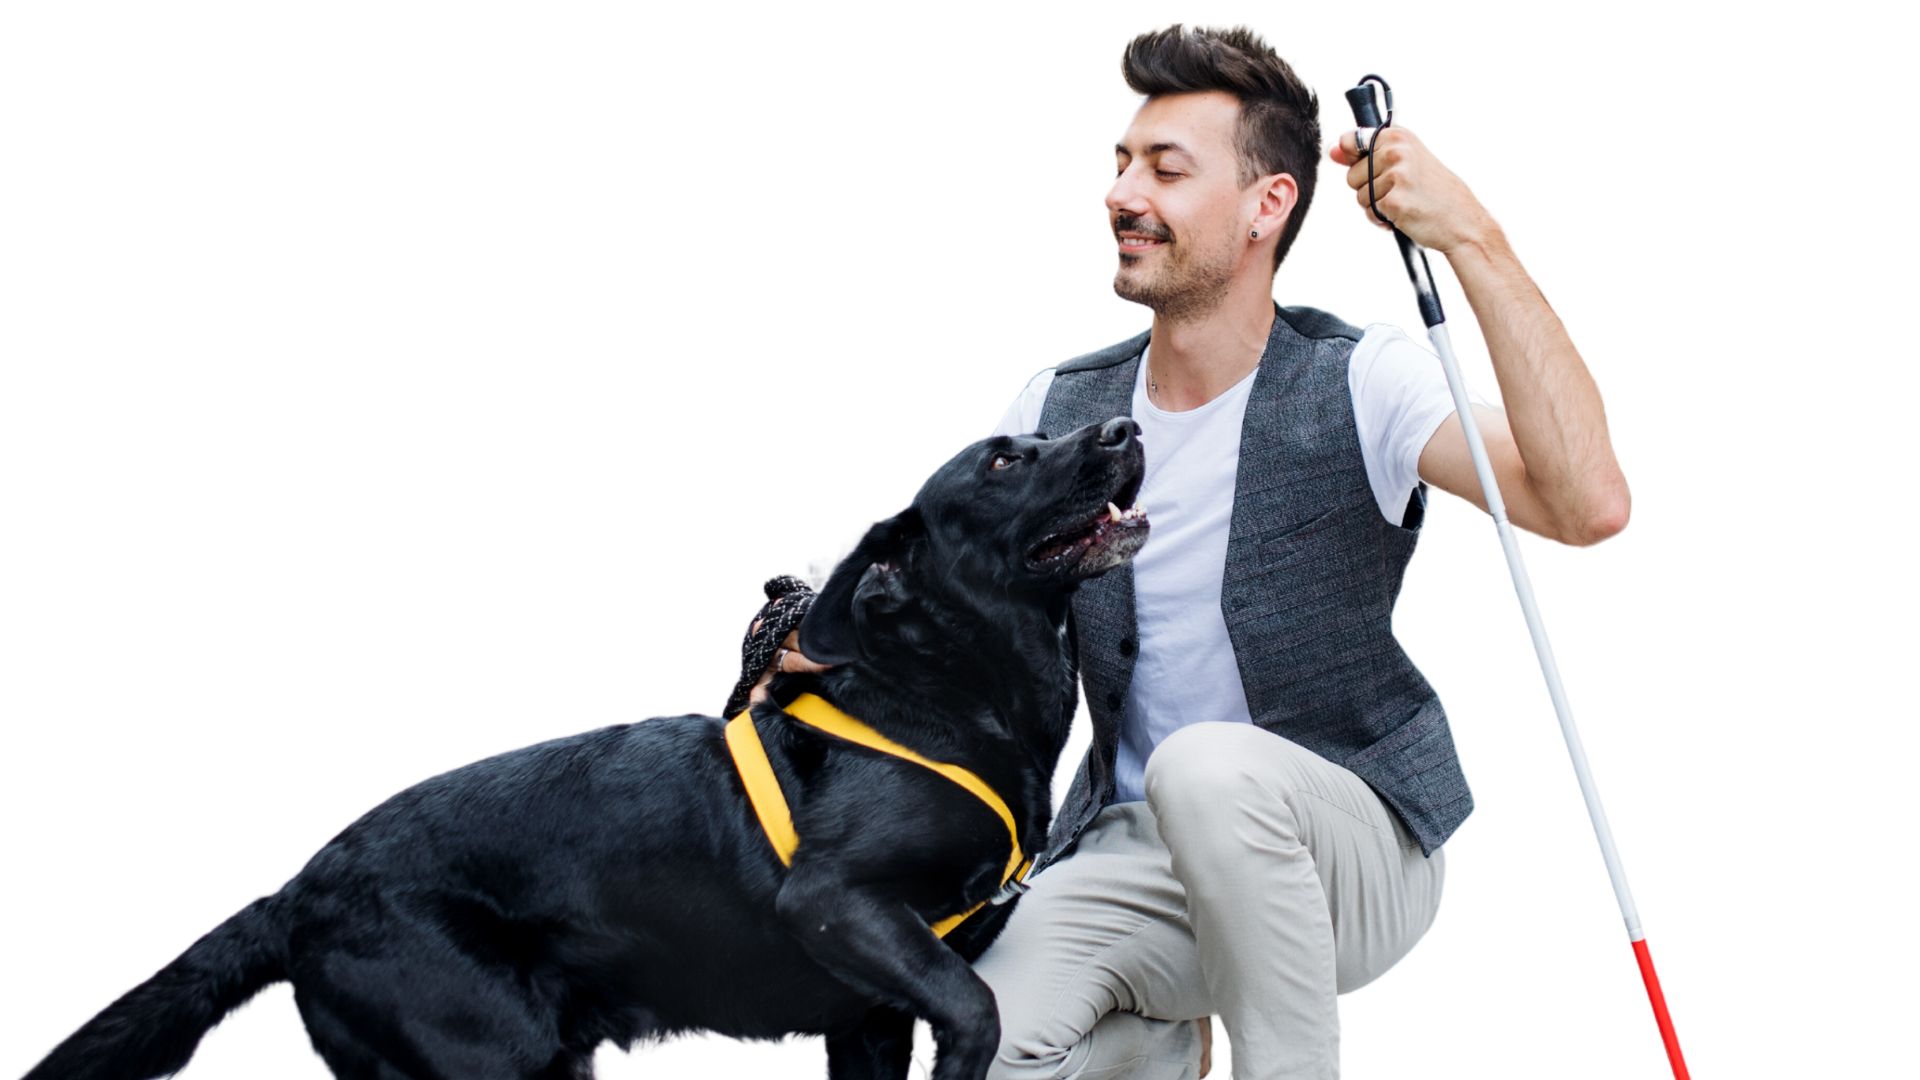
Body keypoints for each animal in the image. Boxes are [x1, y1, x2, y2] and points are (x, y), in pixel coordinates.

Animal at [30, 417, 1144, 1076]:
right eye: (1005, 458)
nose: (1126, 426)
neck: (949, 692)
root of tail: (295, 887)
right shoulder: (839, 905)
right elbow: (976, 1009)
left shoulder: (871, 1015)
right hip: (486, 1059)